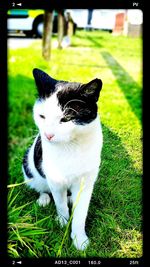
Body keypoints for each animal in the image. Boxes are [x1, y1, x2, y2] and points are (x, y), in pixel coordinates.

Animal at [22, 68, 103, 251]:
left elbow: (80, 213)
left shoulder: (86, 181)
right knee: (42, 187)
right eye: (42, 116)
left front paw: (79, 239)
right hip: (29, 167)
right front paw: (62, 221)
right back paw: (44, 199)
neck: (70, 147)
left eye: (65, 119)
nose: (48, 135)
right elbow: (59, 204)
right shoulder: (55, 179)